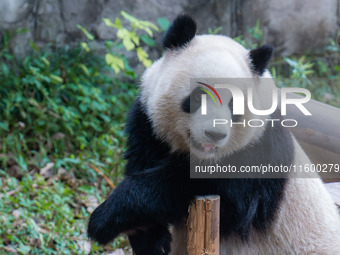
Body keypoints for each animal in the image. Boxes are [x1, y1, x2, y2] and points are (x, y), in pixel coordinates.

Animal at [87, 14, 340, 255]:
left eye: (233, 104)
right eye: (199, 96)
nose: (214, 134)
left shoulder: (259, 151)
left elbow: (210, 192)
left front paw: (105, 218)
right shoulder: (149, 126)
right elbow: (143, 161)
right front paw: (150, 238)